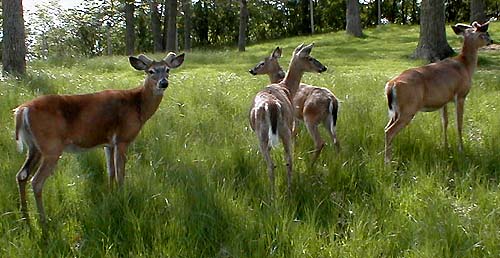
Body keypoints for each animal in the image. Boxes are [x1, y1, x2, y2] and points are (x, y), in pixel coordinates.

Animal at [14, 52, 186, 230]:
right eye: (151, 71)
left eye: (167, 69)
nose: (163, 83)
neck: (138, 106)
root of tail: (22, 110)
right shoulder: (122, 139)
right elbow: (120, 174)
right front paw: (122, 196)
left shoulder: (108, 144)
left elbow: (110, 171)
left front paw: (110, 195)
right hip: (51, 147)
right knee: (36, 181)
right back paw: (43, 221)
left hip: (34, 147)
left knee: (21, 175)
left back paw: (25, 218)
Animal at [248, 42, 326, 196]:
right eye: (310, 58)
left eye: (262, 63)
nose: (323, 67)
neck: (286, 87)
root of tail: (271, 105)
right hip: (277, 132)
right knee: (284, 162)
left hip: (271, 132)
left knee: (278, 163)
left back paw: (277, 193)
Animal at [384, 21, 494, 163]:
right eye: (484, 33)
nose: (491, 40)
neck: (465, 66)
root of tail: (391, 85)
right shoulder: (460, 95)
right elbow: (459, 123)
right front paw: (461, 149)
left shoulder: (444, 100)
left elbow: (444, 122)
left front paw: (445, 146)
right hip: (408, 109)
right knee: (389, 132)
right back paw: (388, 162)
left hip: (395, 111)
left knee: (386, 128)